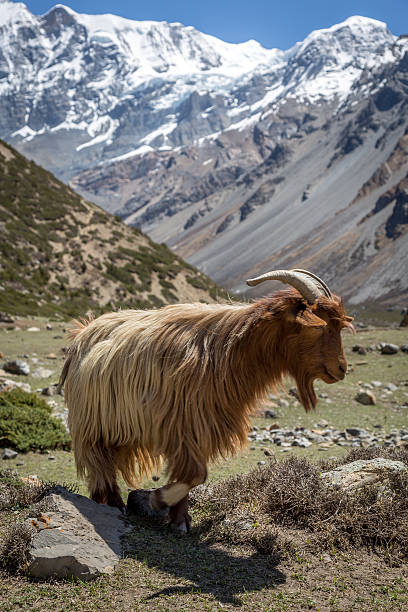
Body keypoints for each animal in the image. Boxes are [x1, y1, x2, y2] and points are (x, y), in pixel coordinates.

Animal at [59, 268, 354, 532]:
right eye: (319, 327)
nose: (342, 369)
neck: (229, 351)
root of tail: (82, 333)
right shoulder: (181, 427)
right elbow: (196, 475)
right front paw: (155, 500)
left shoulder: (199, 428)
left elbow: (190, 476)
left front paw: (179, 520)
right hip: (91, 424)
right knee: (98, 463)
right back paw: (112, 503)